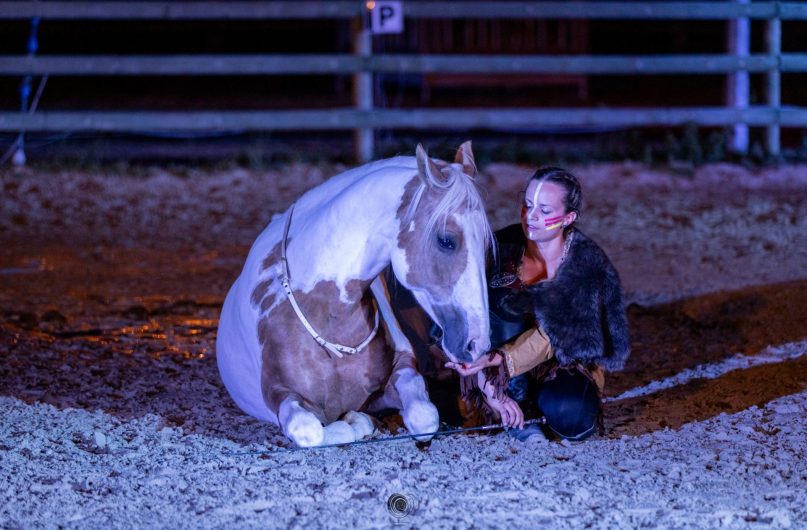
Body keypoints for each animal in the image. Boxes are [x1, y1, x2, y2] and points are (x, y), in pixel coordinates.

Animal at [216, 141, 492, 446]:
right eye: (446, 241)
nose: (477, 344)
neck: (326, 312)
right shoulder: (279, 394)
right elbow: (310, 430)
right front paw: (357, 422)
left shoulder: (403, 366)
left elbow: (424, 415)